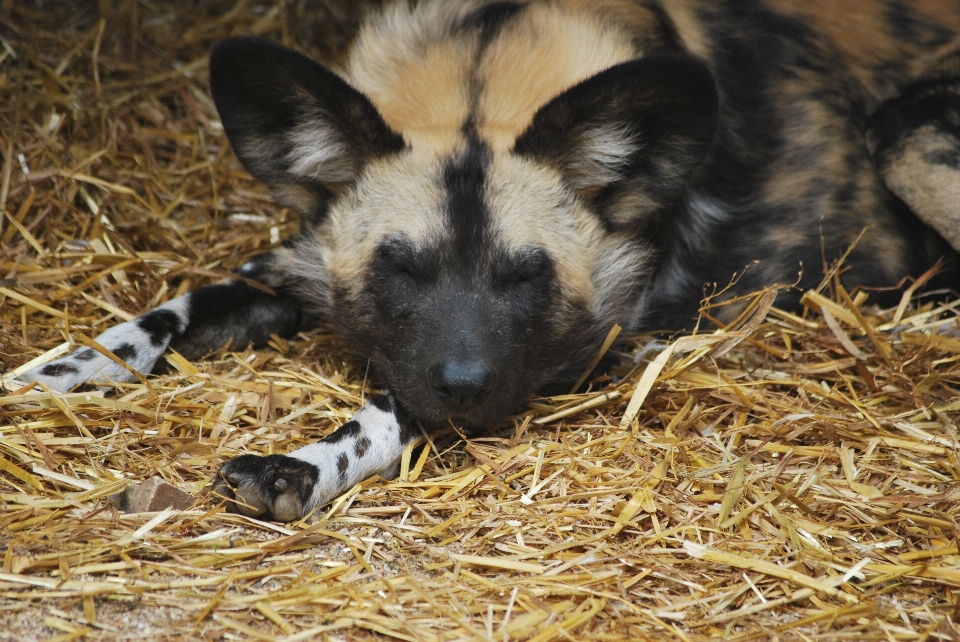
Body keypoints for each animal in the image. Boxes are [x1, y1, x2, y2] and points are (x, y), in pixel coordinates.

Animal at [18, 0, 960, 520]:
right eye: (401, 269)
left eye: (525, 275)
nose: (466, 387)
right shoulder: (297, 267)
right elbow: (162, 316)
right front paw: (56, 372)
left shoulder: (577, 351)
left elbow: (389, 407)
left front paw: (302, 467)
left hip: (905, 132)